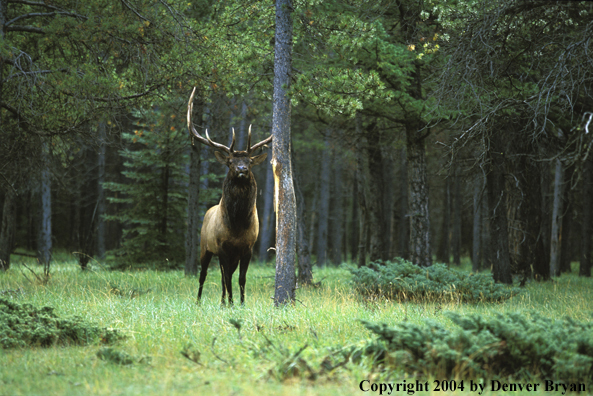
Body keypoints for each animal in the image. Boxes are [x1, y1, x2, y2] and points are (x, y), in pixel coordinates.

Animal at [186, 87, 272, 304]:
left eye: (249, 161)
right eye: (231, 162)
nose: (242, 169)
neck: (237, 226)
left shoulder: (248, 248)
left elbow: (240, 278)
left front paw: (240, 303)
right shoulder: (222, 247)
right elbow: (226, 278)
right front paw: (233, 304)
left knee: (226, 276)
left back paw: (223, 301)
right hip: (204, 247)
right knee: (204, 275)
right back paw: (199, 301)